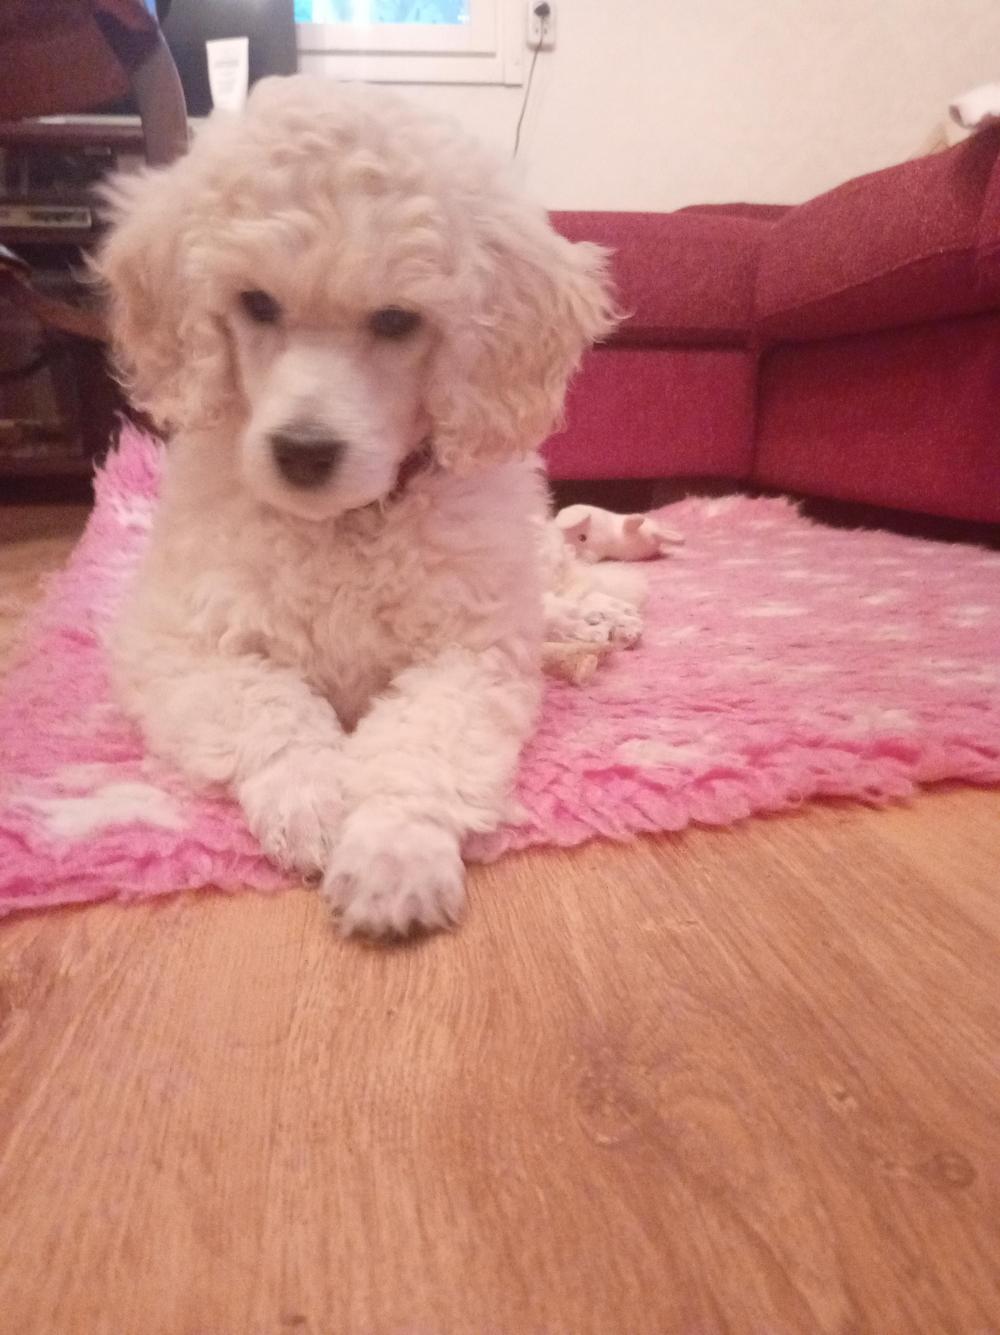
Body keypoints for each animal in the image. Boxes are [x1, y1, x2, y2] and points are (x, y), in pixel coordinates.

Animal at [95, 74, 620, 936]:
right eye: (256, 303)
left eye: (398, 320)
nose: (303, 451)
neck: (340, 525)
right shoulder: (176, 644)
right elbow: (266, 702)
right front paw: (310, 798)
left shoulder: (471, 652)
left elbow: (420, 739)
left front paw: (393, 857)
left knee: (563, 579)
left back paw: (598, 617)